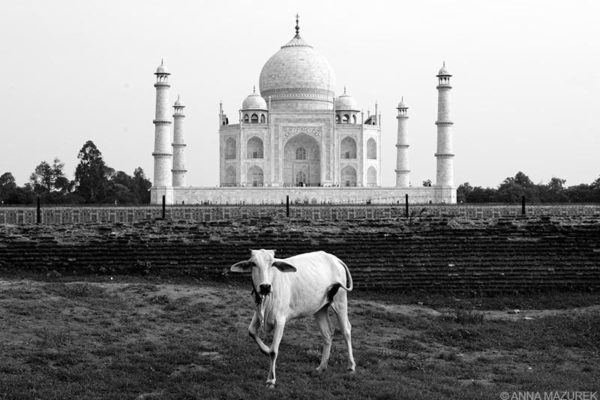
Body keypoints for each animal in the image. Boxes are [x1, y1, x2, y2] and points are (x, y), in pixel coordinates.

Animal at [229, 250, 352, 388]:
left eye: (273, 264)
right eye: (253, 264)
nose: (265, 287)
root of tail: (334, 258)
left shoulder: (280, 320)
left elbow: (274, 351)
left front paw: (271, 380)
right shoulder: (258, 312)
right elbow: (251, 331)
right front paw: (265, 349)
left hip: (340, 301)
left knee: (346, 330)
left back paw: (351, 366)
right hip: (319, 309)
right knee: (327, 334)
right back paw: (322, 367)